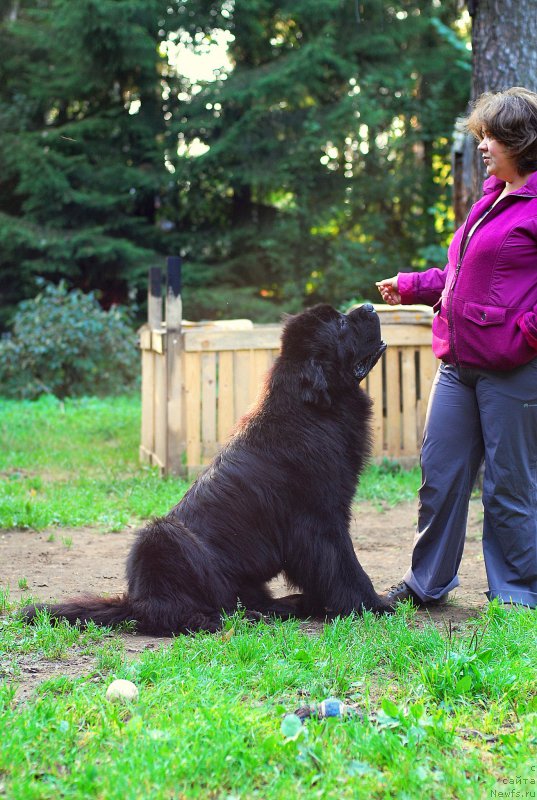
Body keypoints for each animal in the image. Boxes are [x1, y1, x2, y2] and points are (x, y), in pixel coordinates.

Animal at [23, 304, 390, 636]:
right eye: (341, 324)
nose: (371, 306)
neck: (312, 410)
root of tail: (135, 598)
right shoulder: (320, 520)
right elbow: (345, 567)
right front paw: (374, 605)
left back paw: (284, 606)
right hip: (161, 538)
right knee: (170, 613)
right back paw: (224, 620)